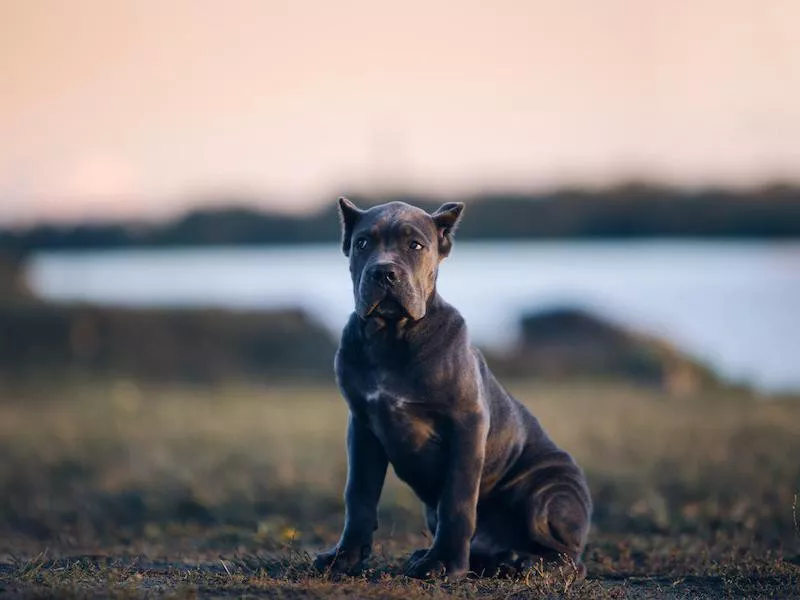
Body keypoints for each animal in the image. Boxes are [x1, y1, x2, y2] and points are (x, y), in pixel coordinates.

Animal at [316, 199, 592, 580]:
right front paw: (344, 558)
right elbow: (358, 495)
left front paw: (444, 563)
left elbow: (457, 500)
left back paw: (525, 562)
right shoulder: (362, 427)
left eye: (415, 245)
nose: (383, 273)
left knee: (567, 556)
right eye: (362, 243)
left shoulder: (467, 424)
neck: (392, 338)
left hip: (549, 494)